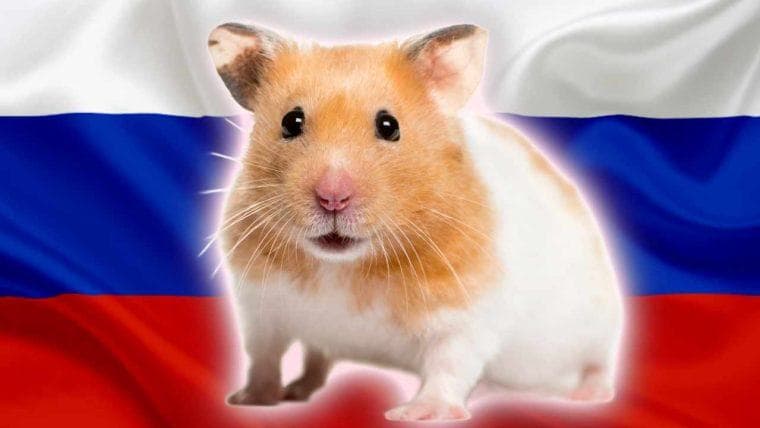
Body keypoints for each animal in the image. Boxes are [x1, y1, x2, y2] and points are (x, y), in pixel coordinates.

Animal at [207, 22, 623, 422]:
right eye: (291, 122)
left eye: (389, 126)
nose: (332, 198)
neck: (343, 267)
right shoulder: (259, 309)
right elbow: (264, 356)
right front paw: (250, 399)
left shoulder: (465, 315)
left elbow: (449, 365)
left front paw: (414, 413)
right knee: (316, 357)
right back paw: (298, 389)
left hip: (600, 323)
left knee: (598, 363)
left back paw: (589, 395)